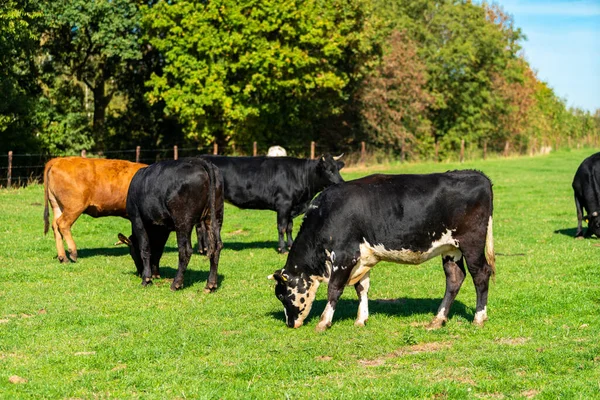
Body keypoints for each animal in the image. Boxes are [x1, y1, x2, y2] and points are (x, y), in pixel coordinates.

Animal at [117, 158, 223, 292]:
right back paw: (211, 284)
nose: (139, 273)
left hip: (182, 220)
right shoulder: (163, 228)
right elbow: (158, 250)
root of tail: (199, 161)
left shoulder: (137, 219)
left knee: (185, 250)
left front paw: (147, 278)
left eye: (131, 252)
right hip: (215, 216)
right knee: (216, 246)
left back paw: (176, 283)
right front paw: (155, 274)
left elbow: (145, 248)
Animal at [200, 154, 344, 253]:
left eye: (338, 169)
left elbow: (290, 227)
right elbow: (282, 227)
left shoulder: (291, 207)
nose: (341, 183)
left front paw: (290, 245)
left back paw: (203, 249)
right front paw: (282, 249)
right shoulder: (283, 205)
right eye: (328, 170)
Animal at [270, 172, 494, 332]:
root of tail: (477, 174)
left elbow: (334, 288)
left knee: (481, 274)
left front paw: (324, 322)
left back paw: (478, 318)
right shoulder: (363, 258)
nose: (290, 324)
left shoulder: (344, 256)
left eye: (282, 295)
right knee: (454, 278)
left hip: (471, 243)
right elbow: (362, 288)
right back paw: (438, 319)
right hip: (450, 249)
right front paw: (361, 319)